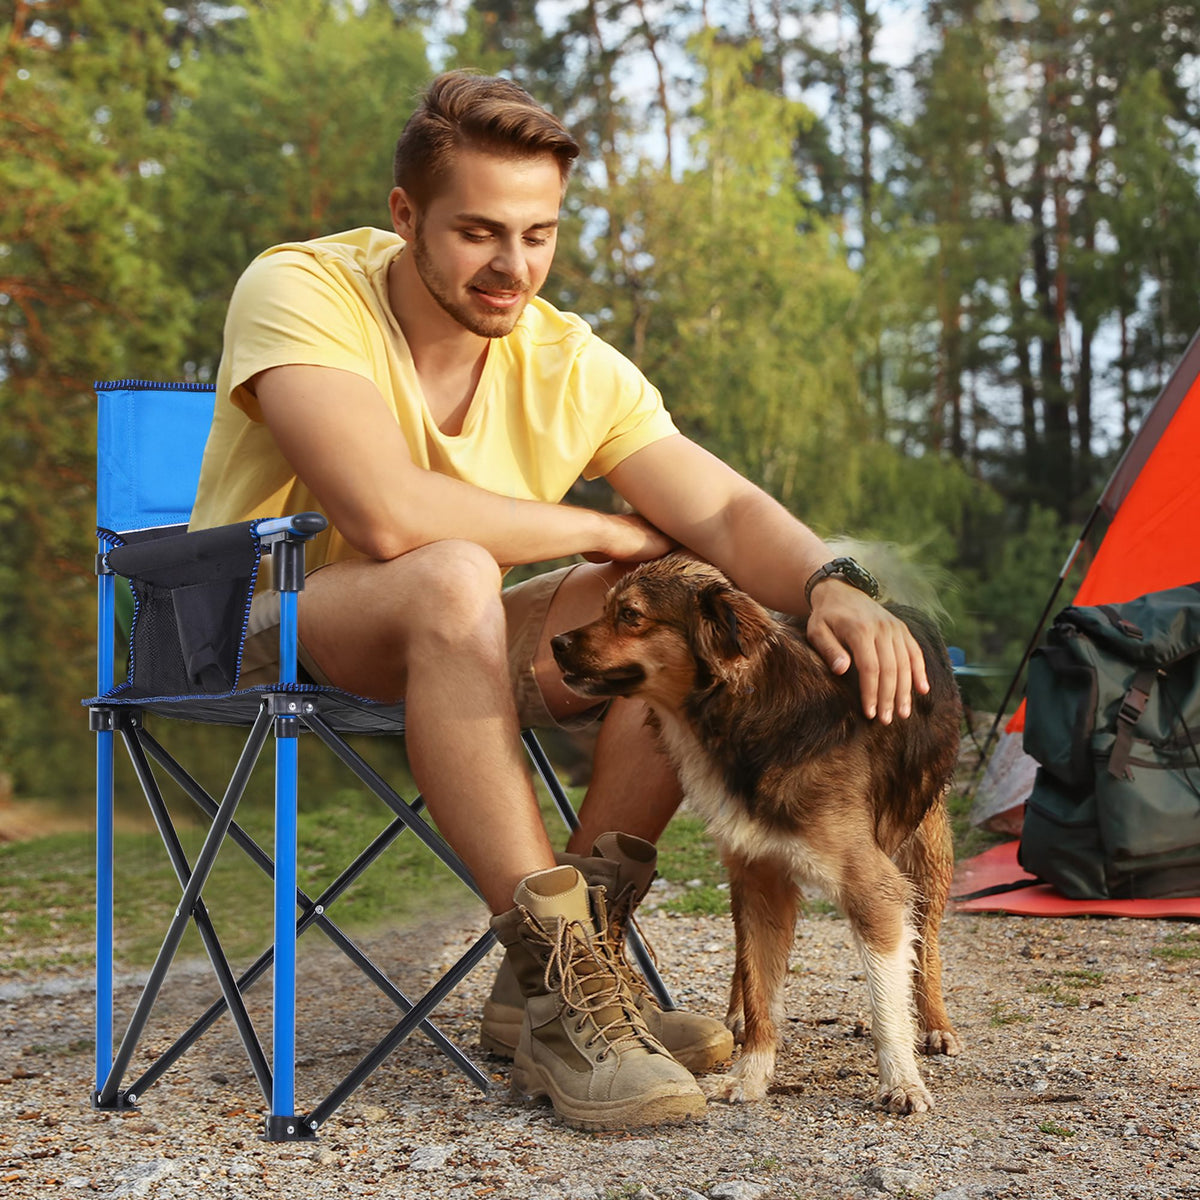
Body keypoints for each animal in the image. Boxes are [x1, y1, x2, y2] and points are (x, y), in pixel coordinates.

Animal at [552, 554, 964, 1113]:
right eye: (605, 609)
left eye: (630, 615)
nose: (555, 643)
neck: (749, 717)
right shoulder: (759, 875)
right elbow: (760, 987)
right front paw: (750, 1075)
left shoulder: (873, 887)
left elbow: (886, 998)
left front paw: (901, 1080)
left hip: (927, 852)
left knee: (928, 947)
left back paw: (935, 1023)